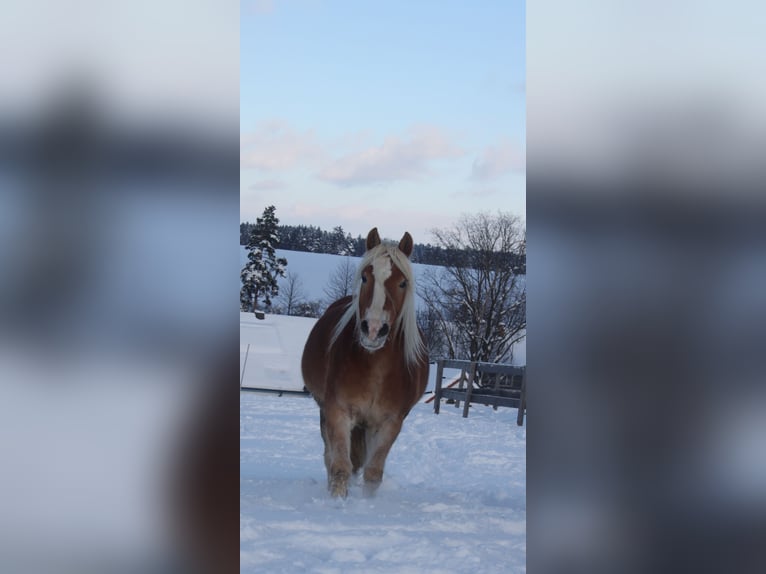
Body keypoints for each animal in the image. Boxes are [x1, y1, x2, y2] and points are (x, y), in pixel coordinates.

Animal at [302, 227, 432, 498]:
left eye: (402, 282)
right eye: (364, 277)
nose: (373, 330)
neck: (377, 369)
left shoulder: (390, 422)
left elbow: (373, 473)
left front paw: (368, 504)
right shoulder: (338, 411)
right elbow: (340, 467)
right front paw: (337, 503)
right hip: (326, 411)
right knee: (331, 459)